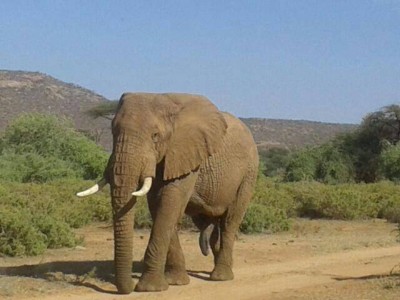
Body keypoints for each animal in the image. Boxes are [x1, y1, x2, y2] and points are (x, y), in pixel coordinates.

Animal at [77, 92, 260, 294]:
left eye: (155, 136)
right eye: (113, 132)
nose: (129, 288)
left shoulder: (185, 153)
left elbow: (169, 205)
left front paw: (150, 288)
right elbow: (159, 207)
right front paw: (175, 282)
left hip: (248, 174)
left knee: (230, 220)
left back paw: (221, 277)